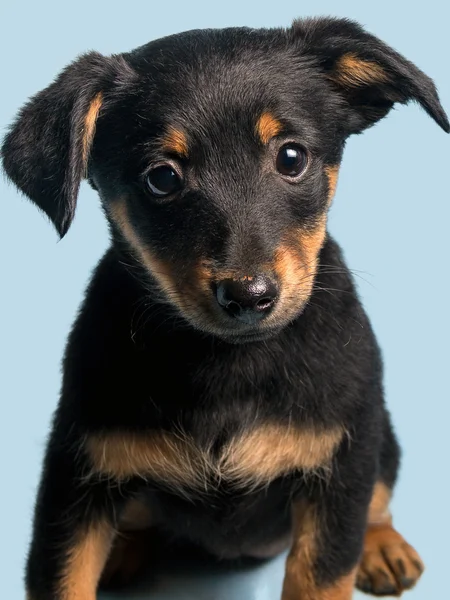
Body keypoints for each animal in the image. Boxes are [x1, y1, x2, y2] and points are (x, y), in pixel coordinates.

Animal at [2, 16, 446, 600]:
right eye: (162, 177)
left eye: (291, 157)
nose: (249, 295)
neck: (227, 361)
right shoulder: (74, 474)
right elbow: (62, 575)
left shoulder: (342, 463)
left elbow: (324, 571)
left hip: (382, 440)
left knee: (380, 497)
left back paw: (383, 546)